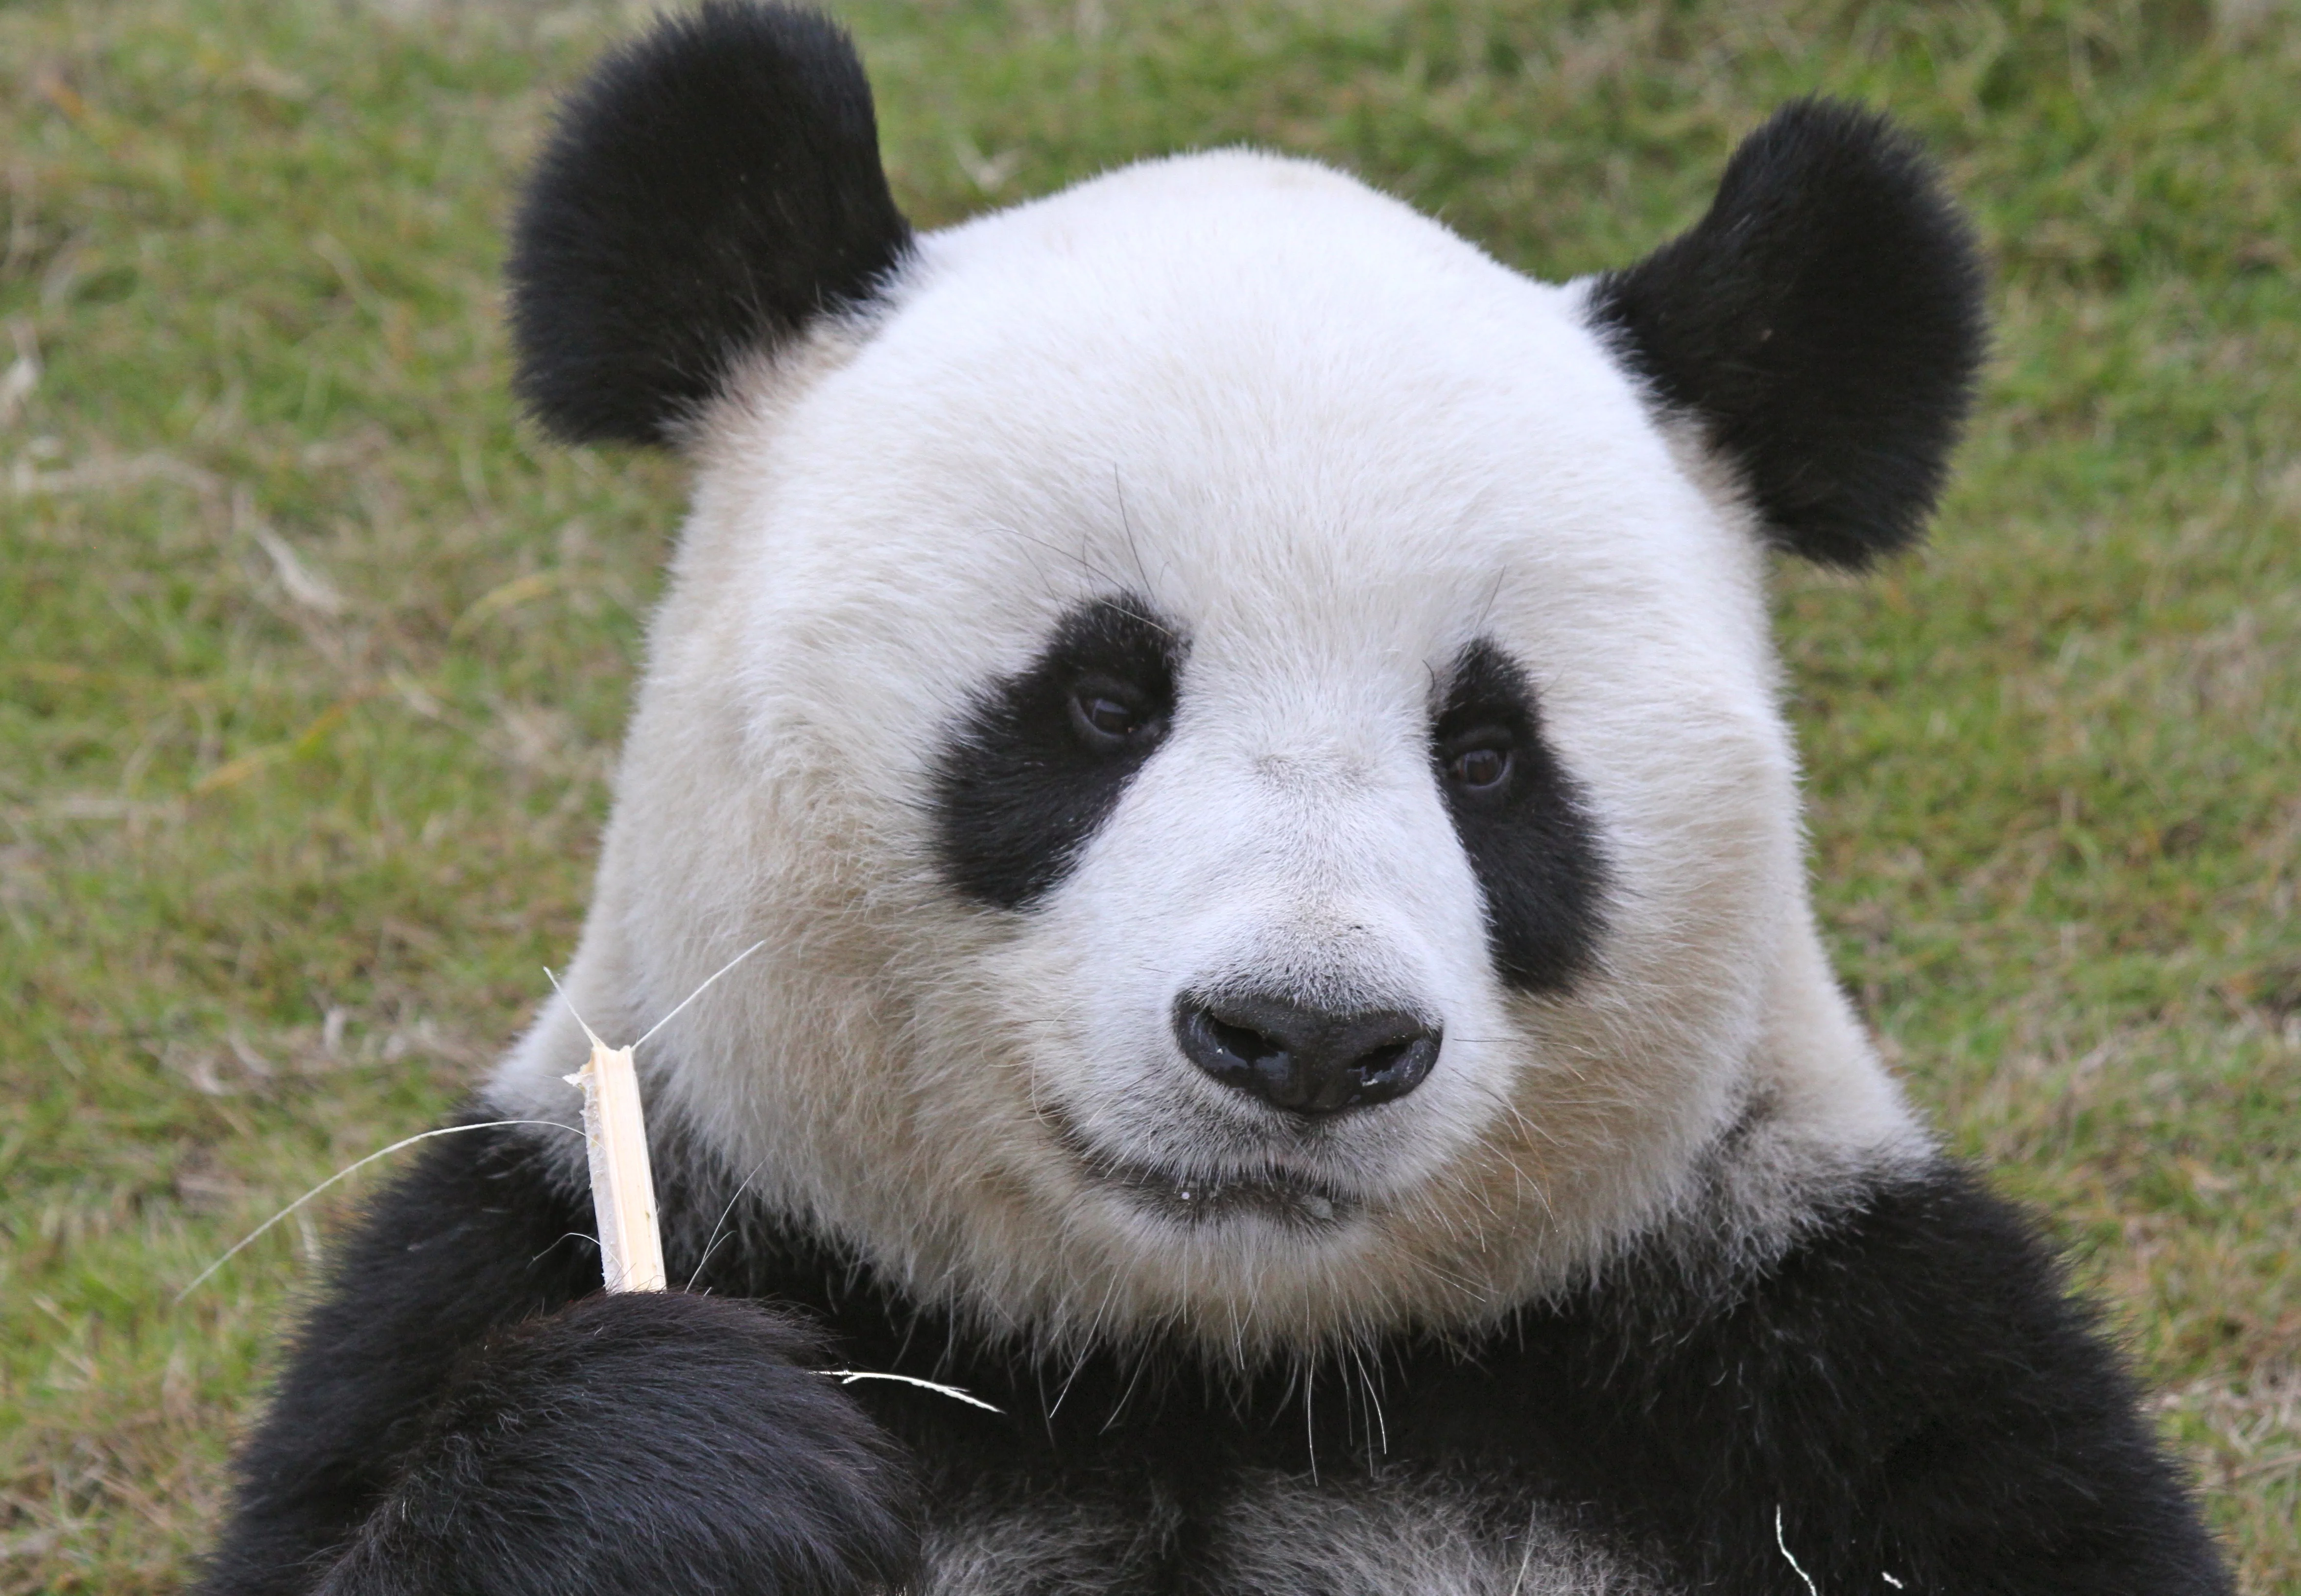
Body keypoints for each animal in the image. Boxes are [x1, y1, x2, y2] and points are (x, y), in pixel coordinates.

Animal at [201, 5, 2232, 1594]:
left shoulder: (1827, 1354)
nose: (1306, 1034)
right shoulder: (521, 1248)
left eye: (1487, 753)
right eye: (1099, 701)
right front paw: (685, 1461)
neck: (1200, 1363)